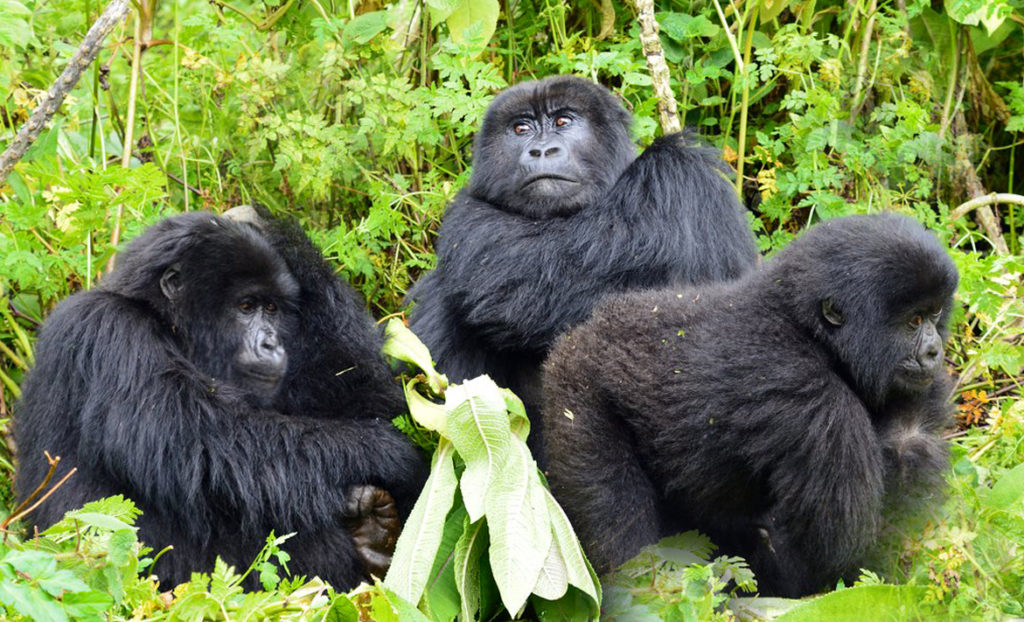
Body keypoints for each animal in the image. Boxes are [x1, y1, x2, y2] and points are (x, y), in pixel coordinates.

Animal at [19, 212, 428, 590]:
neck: (165, 322)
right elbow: (208, 446)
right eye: (247, 306)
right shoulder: (112, 330)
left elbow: (373, 399)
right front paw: (388, 452)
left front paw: (280, 239)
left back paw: (374, 538)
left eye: (272, 309)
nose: (272, 344)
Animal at [544, 214, 958, 598]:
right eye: (913, 321)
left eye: (935, 313)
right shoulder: (818, 404)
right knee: (619, 520)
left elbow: (908, 448)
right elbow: (833, 554)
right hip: (578, 394)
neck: (808, 329)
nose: (934, 351)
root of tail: (578, 335)